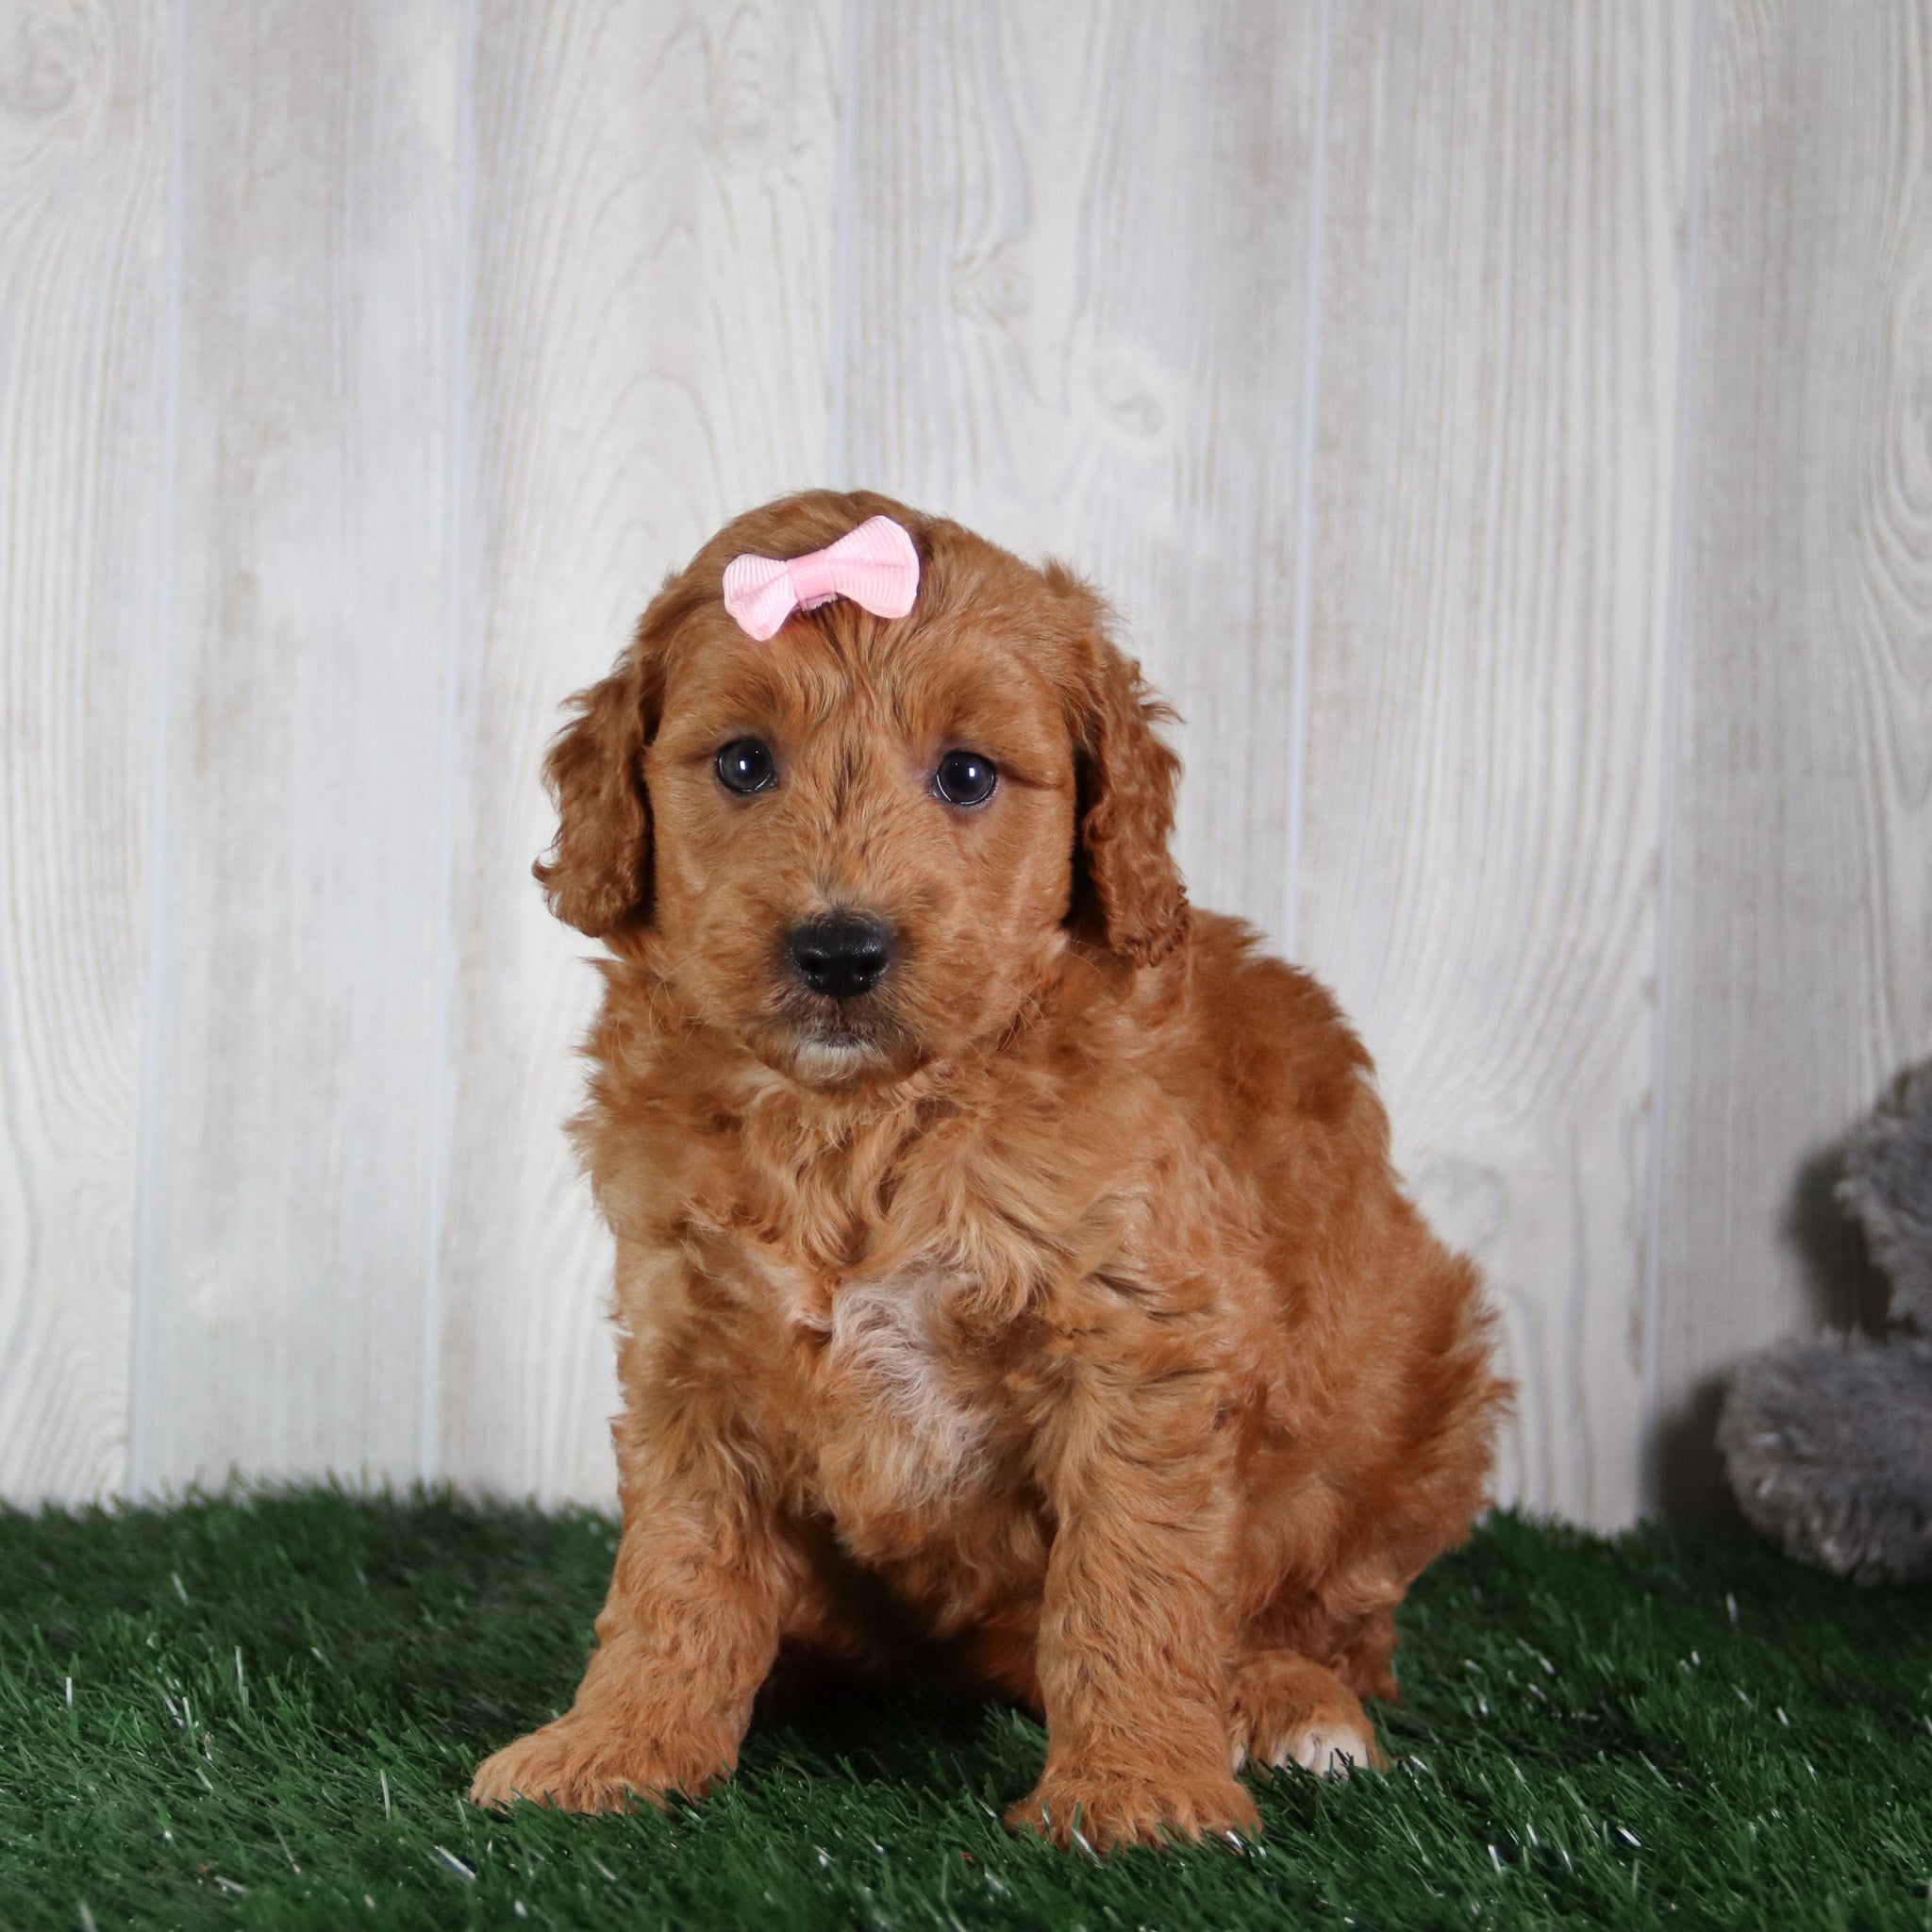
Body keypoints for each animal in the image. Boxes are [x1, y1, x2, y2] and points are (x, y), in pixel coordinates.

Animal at [471, 491, 1507, 1846]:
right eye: (742, 763)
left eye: (966, 775)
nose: (839, 948)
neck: (863, 1119)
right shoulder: (692, 1345)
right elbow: (678, 1570)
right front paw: (621, 1742)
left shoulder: (1140, 1339)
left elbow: (1132, 1572)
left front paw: (1135, 1790)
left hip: (1418, 1394)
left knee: (1331, 1615)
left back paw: (1285, 1700)